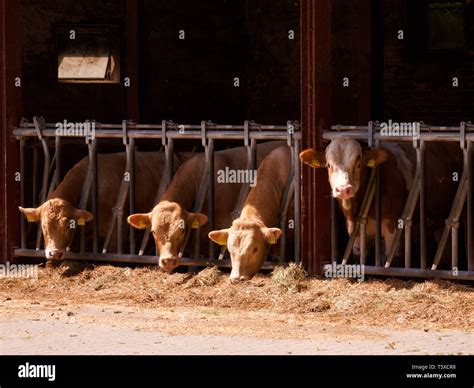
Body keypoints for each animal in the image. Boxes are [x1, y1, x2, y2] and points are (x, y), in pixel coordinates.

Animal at [302, 138, 462, 266]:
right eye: (329, 165)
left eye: (359, 164)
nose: (343, 189)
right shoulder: (355, 231)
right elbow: (359, 255)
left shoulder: (393, 224)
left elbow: (392, 259)